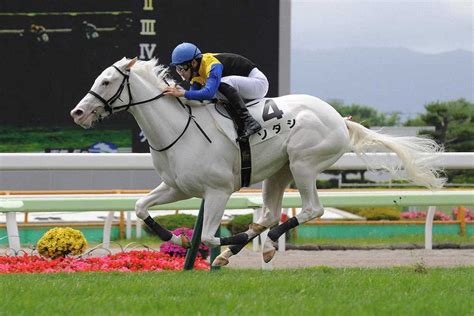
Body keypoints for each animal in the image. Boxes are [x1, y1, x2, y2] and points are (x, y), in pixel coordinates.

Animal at [70, 57, 444, 266]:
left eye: (107, 81)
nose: (78, 113)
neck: (178, 129)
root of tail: (339, 117)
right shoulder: (177, 187)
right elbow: (140, 207)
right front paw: (177, 240)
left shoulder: (218, 191)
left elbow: (209, 237)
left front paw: (214, 245)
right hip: (279, 171)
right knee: (268, 214)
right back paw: (248, 248)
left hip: (304, 163)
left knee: (310, 209)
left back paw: (261, 243)